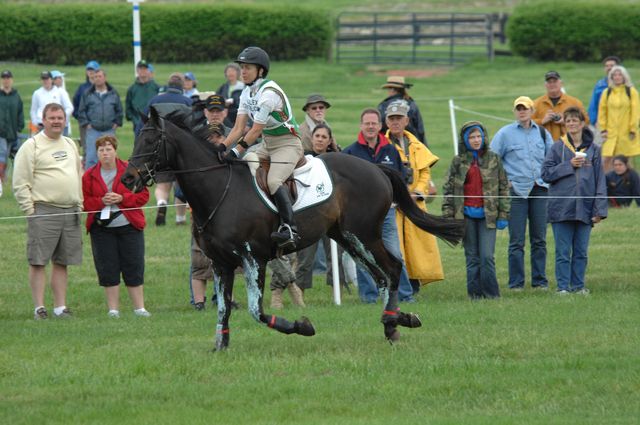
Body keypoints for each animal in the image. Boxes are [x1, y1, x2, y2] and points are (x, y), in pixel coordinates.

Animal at [121, 107, 464, 350]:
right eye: (136, 139)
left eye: (151, 142)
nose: (127, 179)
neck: (219, 188)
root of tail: (376, 168)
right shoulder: (221, 264)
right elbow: (223, 310)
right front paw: (220, 346)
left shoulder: (252, 259)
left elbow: (256, 311)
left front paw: (302, 327)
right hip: (347, 237)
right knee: (382, 276)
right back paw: (395, 323)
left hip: (363, 234)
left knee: (391, 270)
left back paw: (393, 323)